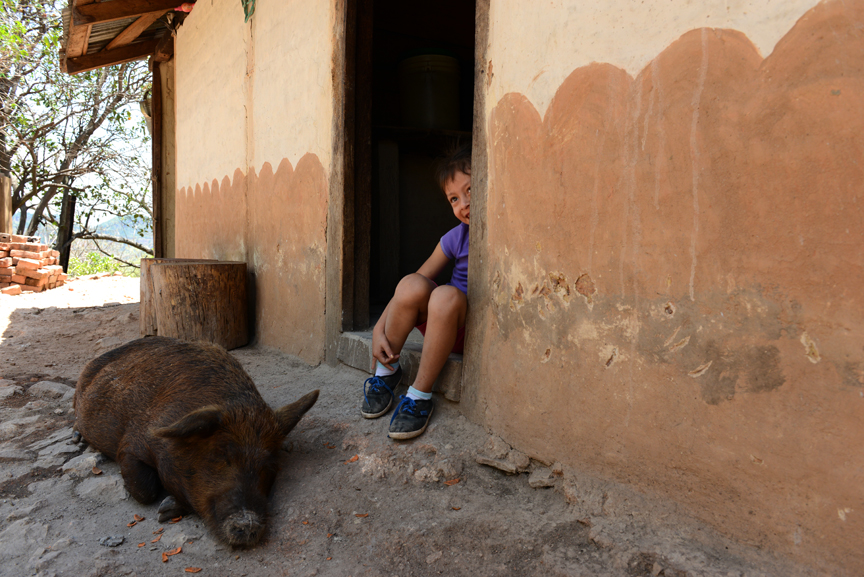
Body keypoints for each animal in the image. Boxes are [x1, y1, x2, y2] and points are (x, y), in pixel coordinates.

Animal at [72, 332, 318, 544]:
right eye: (222, 456)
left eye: (269, 466)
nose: (248, 524)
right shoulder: (132, 443)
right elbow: (145, 490)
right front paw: (161, 512)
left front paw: (167, 509)